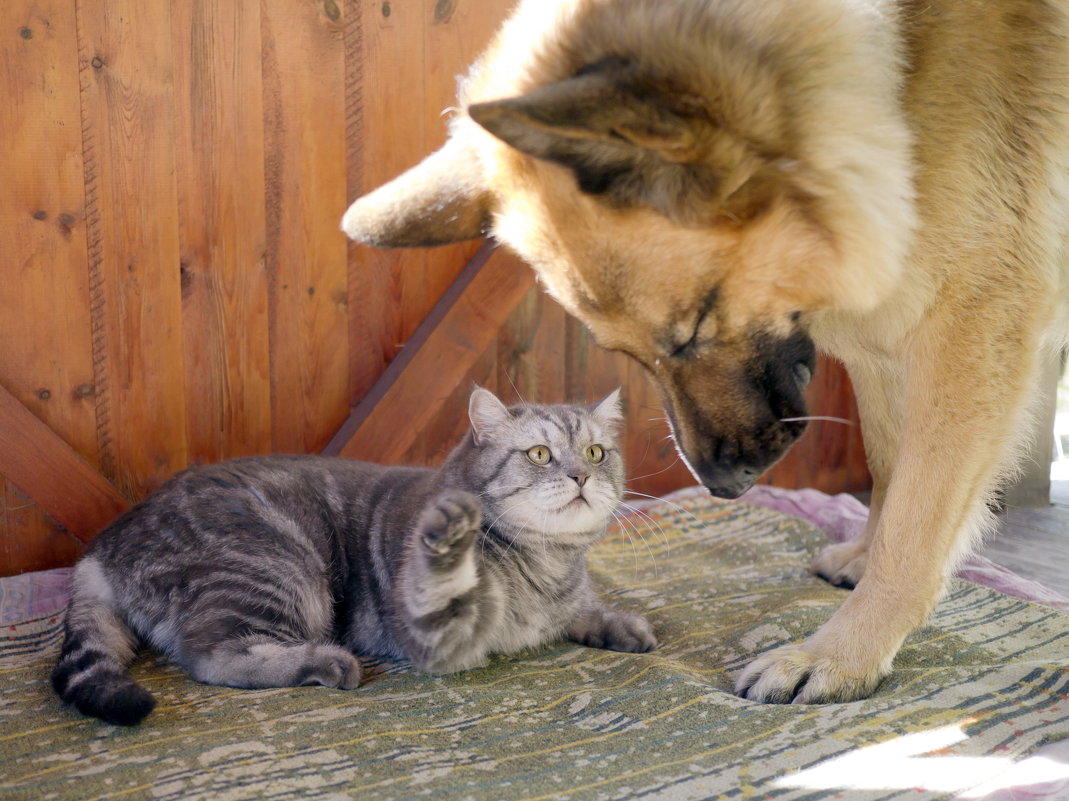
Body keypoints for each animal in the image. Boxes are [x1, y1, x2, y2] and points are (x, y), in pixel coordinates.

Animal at [54, 387, 654, 722]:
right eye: (539, 454)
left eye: (595, 453)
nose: (580, 476)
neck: (546, 563)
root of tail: (104, 544)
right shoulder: (435, 637)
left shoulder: (565, 598)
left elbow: (583, 608)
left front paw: (620, 624)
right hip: (280, 569)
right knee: (212, 656)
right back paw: (327, 662)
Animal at [344, 0, 1069, 701]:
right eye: (634, 354)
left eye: (694, 325)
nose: (723, 488)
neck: (898, 84)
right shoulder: (888, 338)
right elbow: (892, 471)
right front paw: (862, 561)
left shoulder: (966, 334)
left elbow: (914, 526)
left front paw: (840, 653)